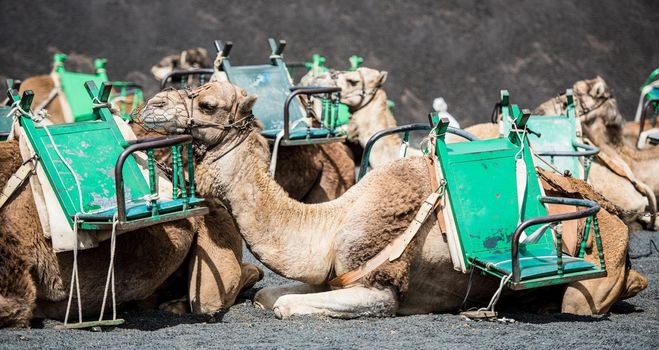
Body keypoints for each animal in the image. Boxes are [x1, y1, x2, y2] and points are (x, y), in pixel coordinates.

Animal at [141, 80, 648, 320]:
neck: (329, 223)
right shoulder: (333, 274)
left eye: (207, 104)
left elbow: (284, 306)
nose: (151, 106)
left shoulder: (381, 288)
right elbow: (269, 294)